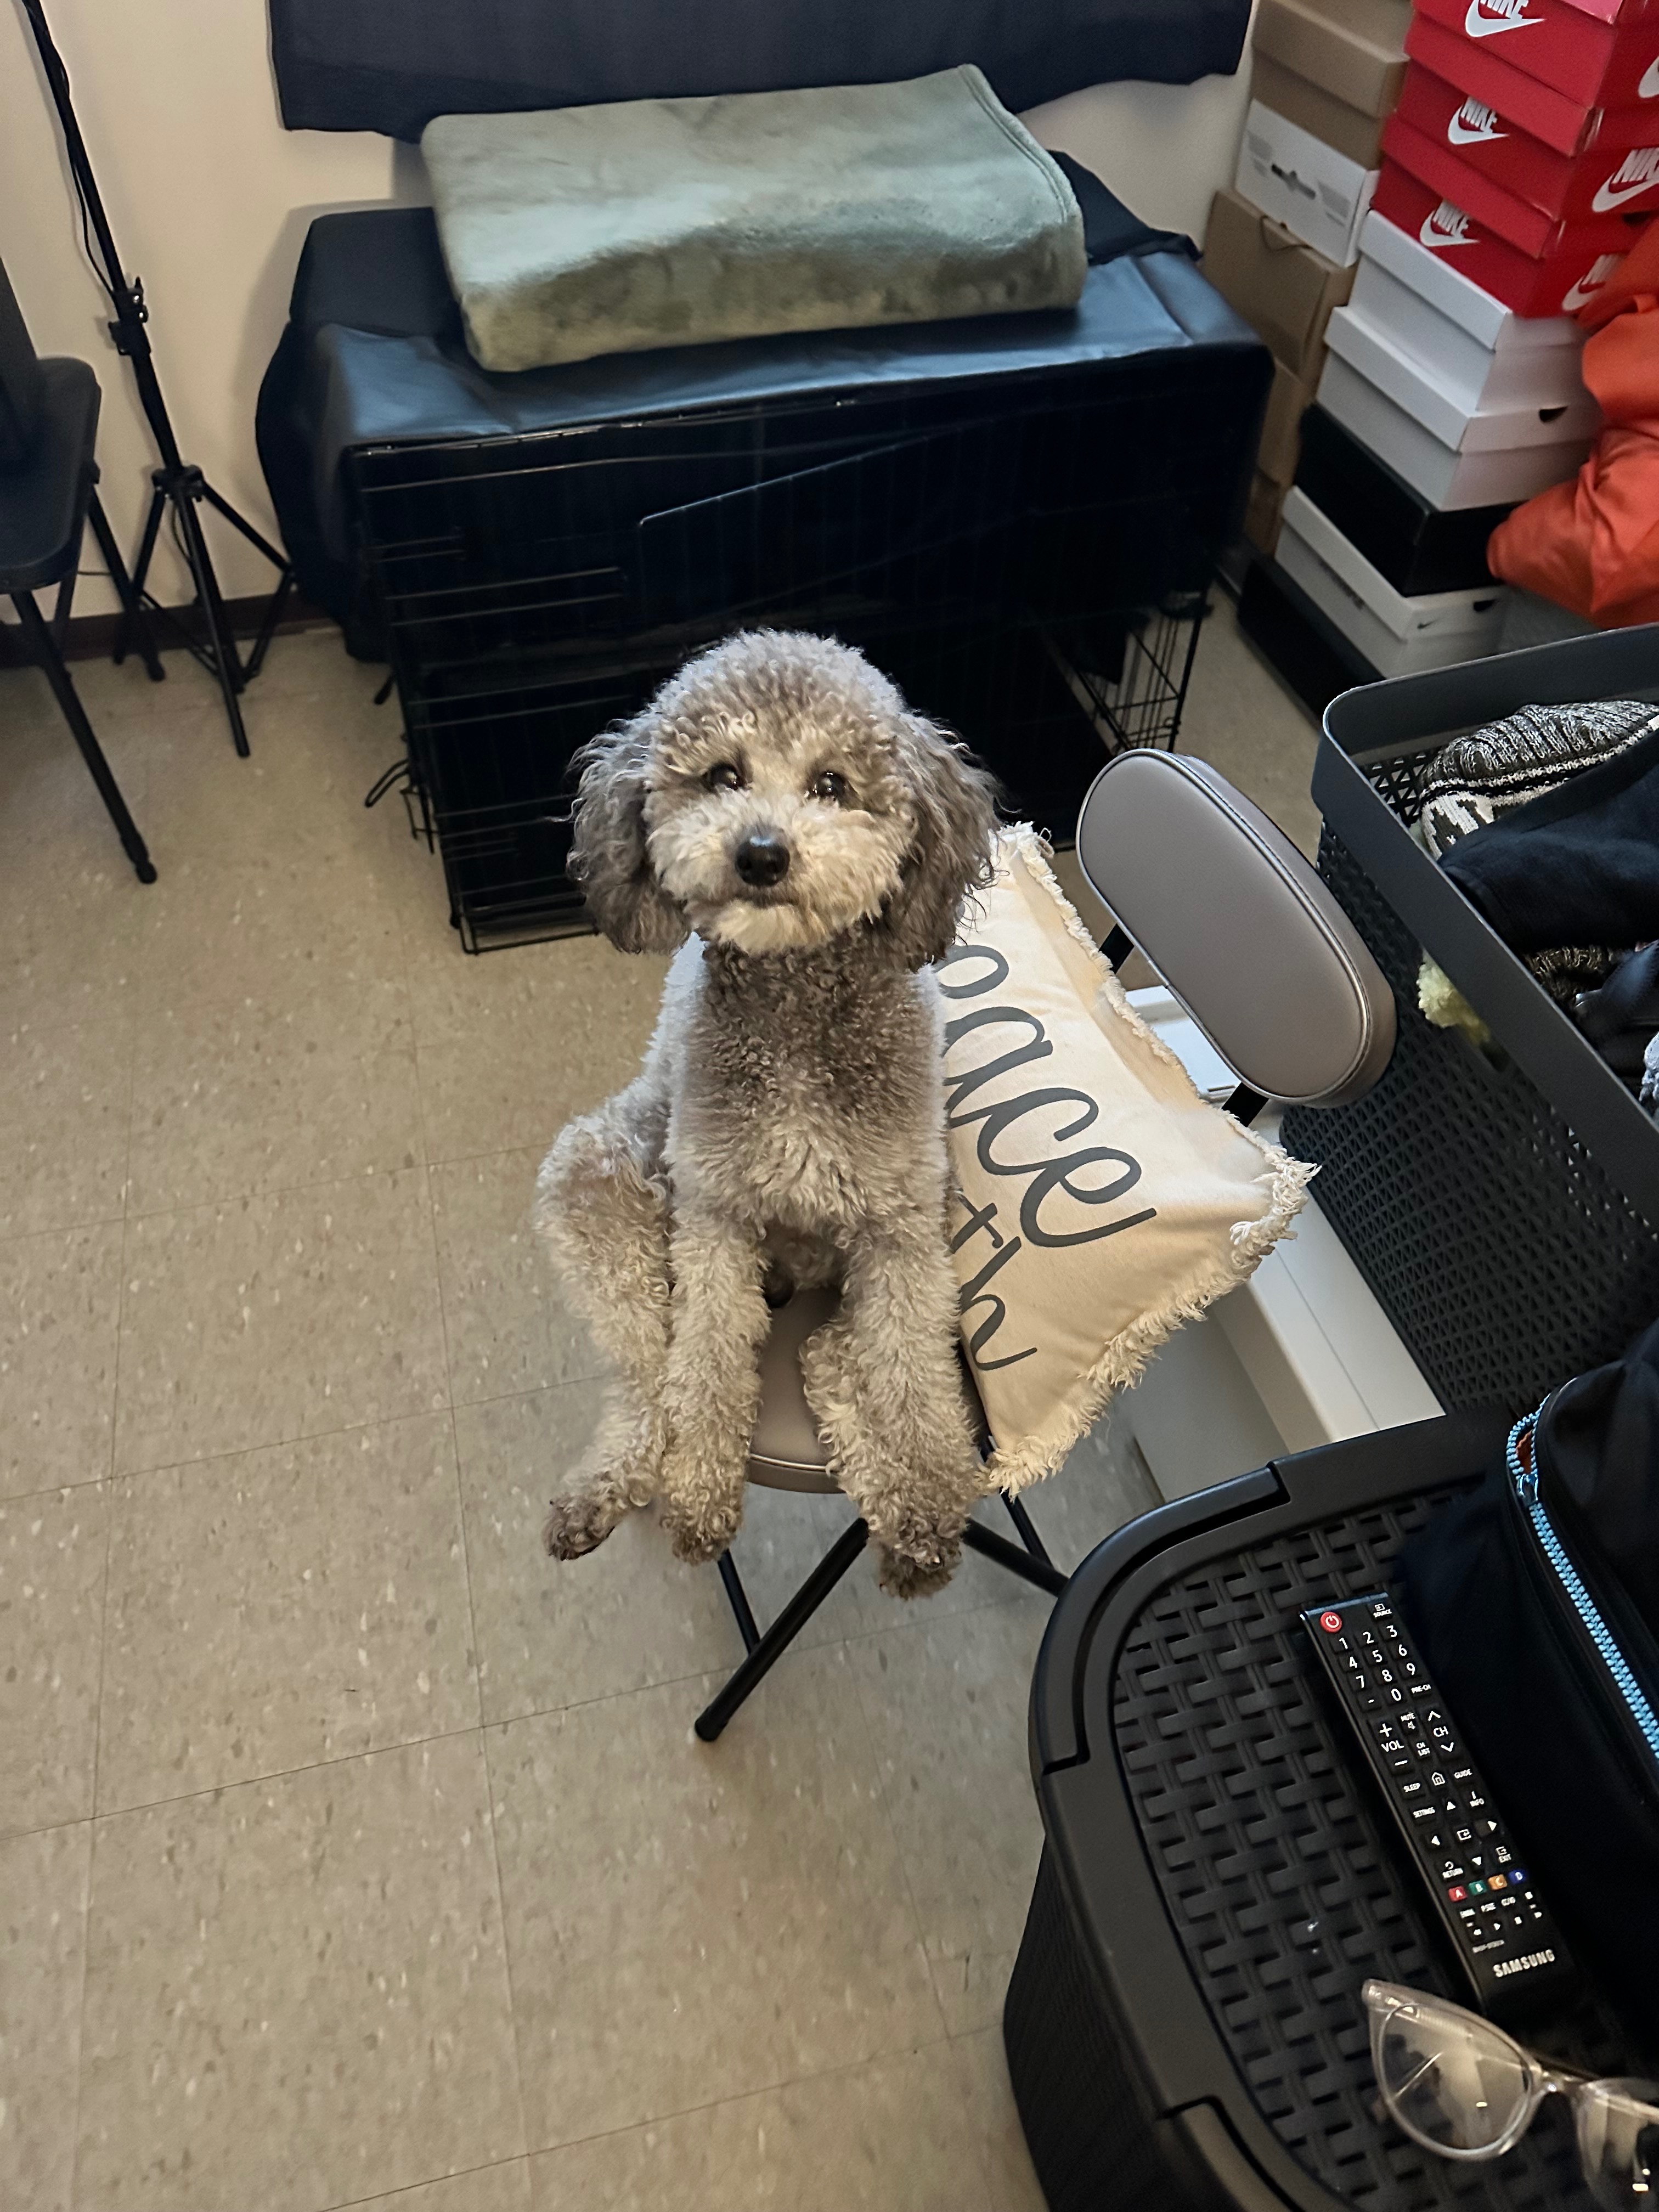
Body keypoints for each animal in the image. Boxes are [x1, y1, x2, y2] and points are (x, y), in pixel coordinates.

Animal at [534, 628, 1000, 1595]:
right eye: (722, 775)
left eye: (833, 784)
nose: (760, 853)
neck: (794, 1012)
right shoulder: (715, 1217)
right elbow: (707, 1365)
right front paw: (699, 1500)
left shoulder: (903, 1231)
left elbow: (912, 1383)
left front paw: (927, 1511)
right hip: (598, 1175)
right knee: (648, 1377)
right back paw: (609, 1487)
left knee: (829, 1359)